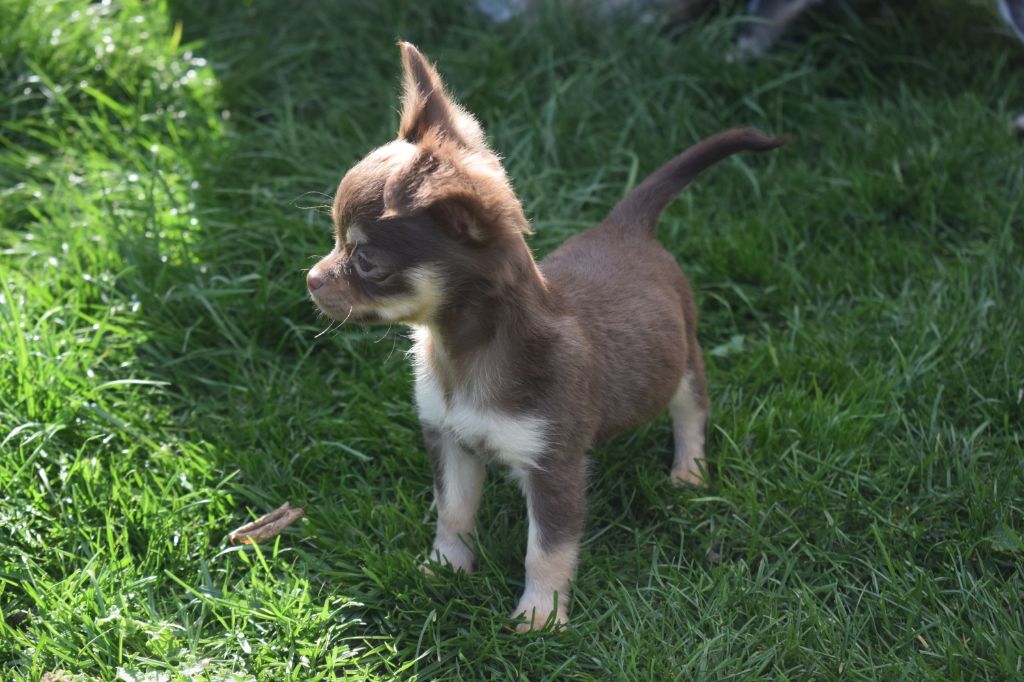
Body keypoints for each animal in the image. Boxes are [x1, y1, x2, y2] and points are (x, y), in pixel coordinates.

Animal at [305, 42, 782, 630]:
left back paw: (688, 472)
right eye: (335, 240)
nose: (311, 279)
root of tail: (626, 227)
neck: (464, 352)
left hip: (685, 356)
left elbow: (547, 550)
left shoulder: (555, 467)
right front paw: (444, 569)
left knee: (691, 410)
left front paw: (541, 617)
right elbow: (453, 513)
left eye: (366, 261)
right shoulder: (450, 441)